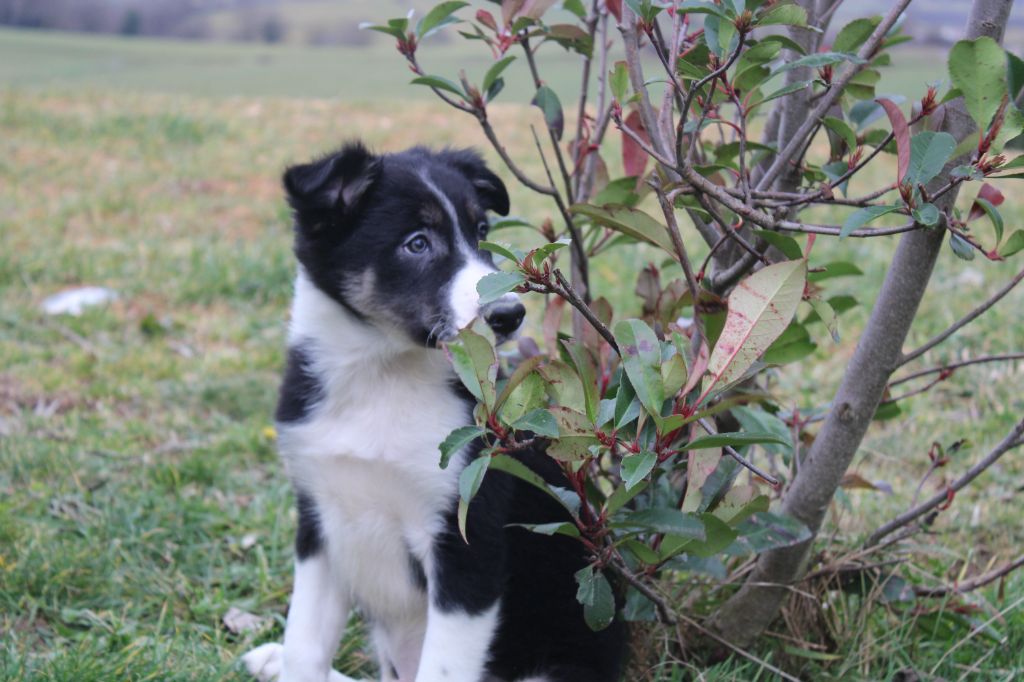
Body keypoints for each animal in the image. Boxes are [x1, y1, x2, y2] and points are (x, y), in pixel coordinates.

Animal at [240, 143, 626, 679]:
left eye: (481, 231)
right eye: (417, 244)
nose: (509, 315)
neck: (383, 378)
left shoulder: (466, 539)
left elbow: (441, 667)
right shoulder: (318, 522)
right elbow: (305, 649)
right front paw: (288, 657)